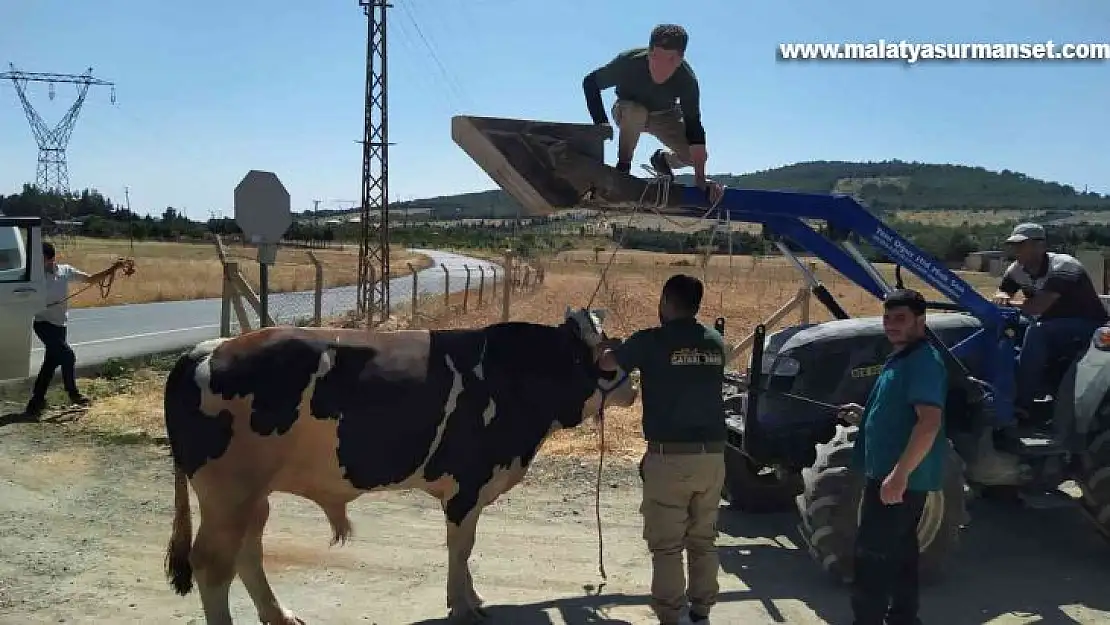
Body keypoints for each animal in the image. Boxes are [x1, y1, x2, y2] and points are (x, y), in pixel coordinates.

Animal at [160, 308, 639, 625]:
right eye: (605, 353)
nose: (633, 385)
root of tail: (208, 348)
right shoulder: (468, 484)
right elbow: (461, 547)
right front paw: (463, 604)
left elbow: (464, 548)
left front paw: (471, 597)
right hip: (229, 492)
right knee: (212, 563)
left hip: (252, 495)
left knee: (248, 551)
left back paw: (279, 614)